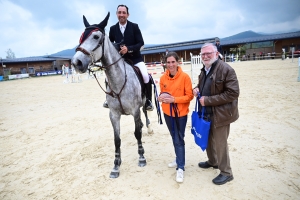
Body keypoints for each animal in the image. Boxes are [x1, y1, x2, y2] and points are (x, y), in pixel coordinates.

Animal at [71, 12, 159, 178]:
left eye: (96, 37)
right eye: (81, 37)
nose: (76, 62)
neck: (118, 80)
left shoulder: (134, 111)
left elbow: (137, 134)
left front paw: (141, 158)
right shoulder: (114, 115)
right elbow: (117, 140)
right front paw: (116, 166)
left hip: (143, 103)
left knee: (145, 111)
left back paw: (149, 128)